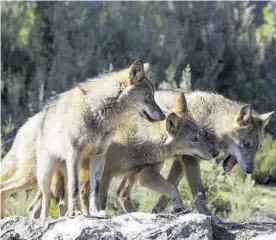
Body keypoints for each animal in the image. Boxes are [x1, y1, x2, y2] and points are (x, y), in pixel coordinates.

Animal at [1, 60, 165, 219]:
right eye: (149, 97)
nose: (163, 116)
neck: (98, 112)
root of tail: (26, 124)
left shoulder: (99, 156)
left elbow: (94, 188)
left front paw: (96, 211)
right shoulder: (75, 154)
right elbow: (74, 188)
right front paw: (75, 212)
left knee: (50, 202)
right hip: (41, 175)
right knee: (34, 199)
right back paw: (41, 220)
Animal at [27, 88, 218, 216]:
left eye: (201, 134)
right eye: (194, 139)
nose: (215, 153)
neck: (139, 139)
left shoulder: (144, 175)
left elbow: (171, 188)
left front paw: (178, 206)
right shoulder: (107, 174)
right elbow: (103, 201)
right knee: (41, 204)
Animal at [113, 90, 272, 216]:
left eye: (258, 148)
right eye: (246, 144)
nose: (250, 170)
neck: (208, 123)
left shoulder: (179, 162)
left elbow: (170, 187)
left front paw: (159, 210)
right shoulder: (190, 160)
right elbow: (199, 192)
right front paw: (209, 216)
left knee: (121, 192)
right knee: (122, 191)